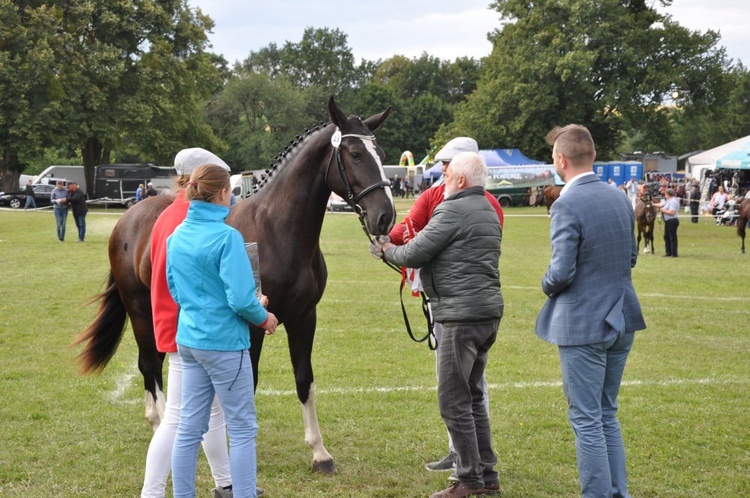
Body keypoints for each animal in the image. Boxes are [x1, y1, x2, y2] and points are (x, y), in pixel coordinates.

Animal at [72, 96, 396, 470]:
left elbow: (304, 380)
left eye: (381, 154)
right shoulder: (252, 325)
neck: (278, 229)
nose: (385, 217)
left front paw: (319, 453)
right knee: (151, 365)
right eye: (355, 154)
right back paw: (162, 426)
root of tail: (127, 218)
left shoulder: (304, 318)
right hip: (140, 310)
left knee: (149, 364)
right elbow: (247, 384)